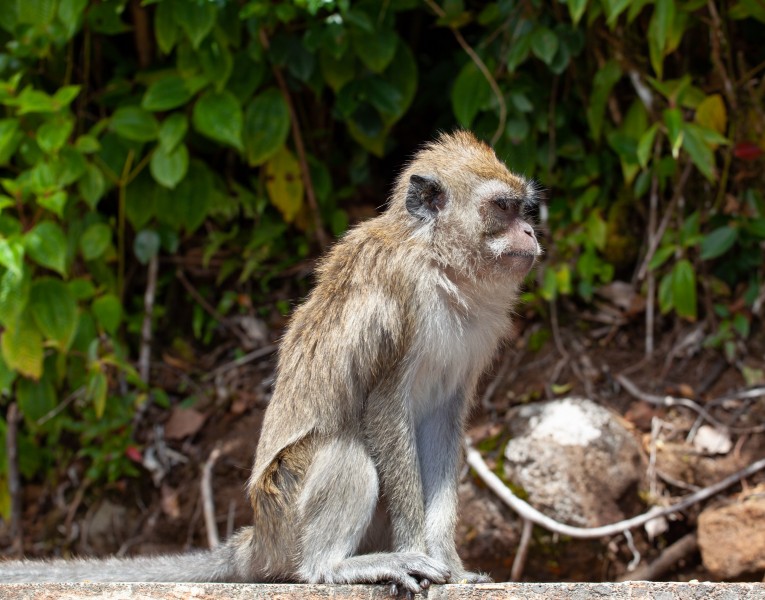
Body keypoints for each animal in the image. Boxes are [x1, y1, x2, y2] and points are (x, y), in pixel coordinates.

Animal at [1, 129, 536, 592]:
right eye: (501, 208)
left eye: (523, 208)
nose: (531, 231)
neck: (440, 265)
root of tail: (259, 540)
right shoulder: (399, 295)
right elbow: (384, 406)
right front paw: (415, 550)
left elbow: (443, 422)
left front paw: (451, 564)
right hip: (286, 510)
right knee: (345, 452)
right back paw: (334, 567)